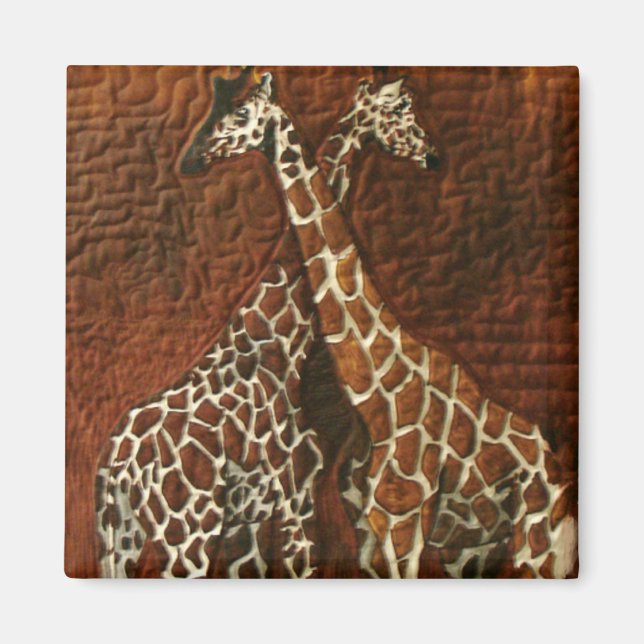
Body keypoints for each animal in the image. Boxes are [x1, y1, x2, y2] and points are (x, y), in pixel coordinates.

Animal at [203, 71, 578, 579]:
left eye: (406, 107)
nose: (434, 155)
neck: (374, 395)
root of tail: (564, 480)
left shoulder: (404, 524)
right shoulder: (369, 531)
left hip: (538, 548)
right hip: (473, 552)